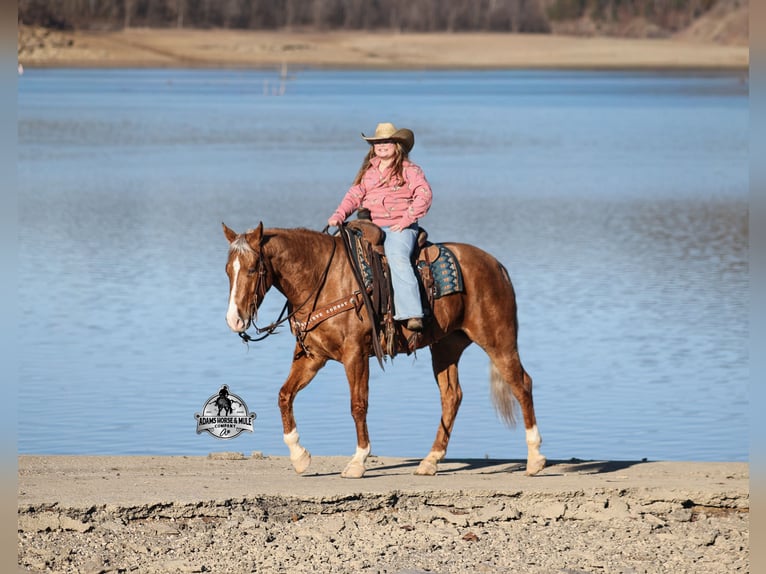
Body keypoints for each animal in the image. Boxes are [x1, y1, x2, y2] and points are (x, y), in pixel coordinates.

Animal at [223, 222, 545, 479]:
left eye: (252, 268)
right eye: (228, 270)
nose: (233, 319)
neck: (323, 280)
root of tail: (496, 265)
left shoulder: (355, 354)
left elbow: (358, 405)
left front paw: (358, 462)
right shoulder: (313, 357)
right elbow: (284, 395)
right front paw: (300, 457)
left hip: (498, 340)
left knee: (521, 384)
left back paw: (535, 459)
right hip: (446, 347)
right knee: (452, 395)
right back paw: (430, 461)